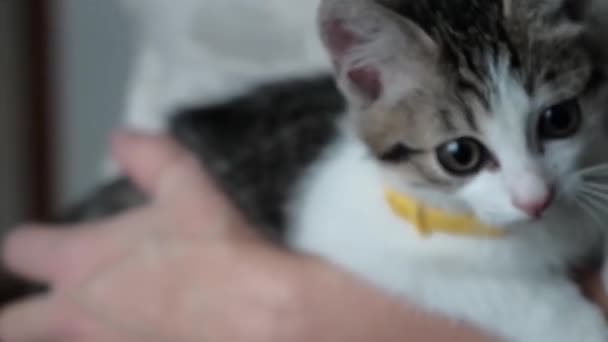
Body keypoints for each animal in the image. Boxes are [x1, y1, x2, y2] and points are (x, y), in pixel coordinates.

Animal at [3, 0, 608, 340]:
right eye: (460, 155)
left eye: (559, 119)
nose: (534, 197)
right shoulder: (357, 239)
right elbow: (499, 292)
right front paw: (580, 326)